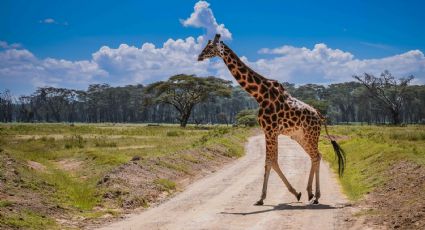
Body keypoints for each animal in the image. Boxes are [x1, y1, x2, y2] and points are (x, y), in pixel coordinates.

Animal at [197, 34, 342, 205]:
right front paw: (296, 193)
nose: (199, 56)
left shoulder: (269, 130)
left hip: (310, 135)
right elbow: (274, 161)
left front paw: (261, 198)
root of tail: (319, 115)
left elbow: (269, 162)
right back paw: (310, 193)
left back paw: (316, 196)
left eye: (210, 47)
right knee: (315, 156)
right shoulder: (272, 132)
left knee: (316, 156)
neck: (259, 95)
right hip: (300, 136)